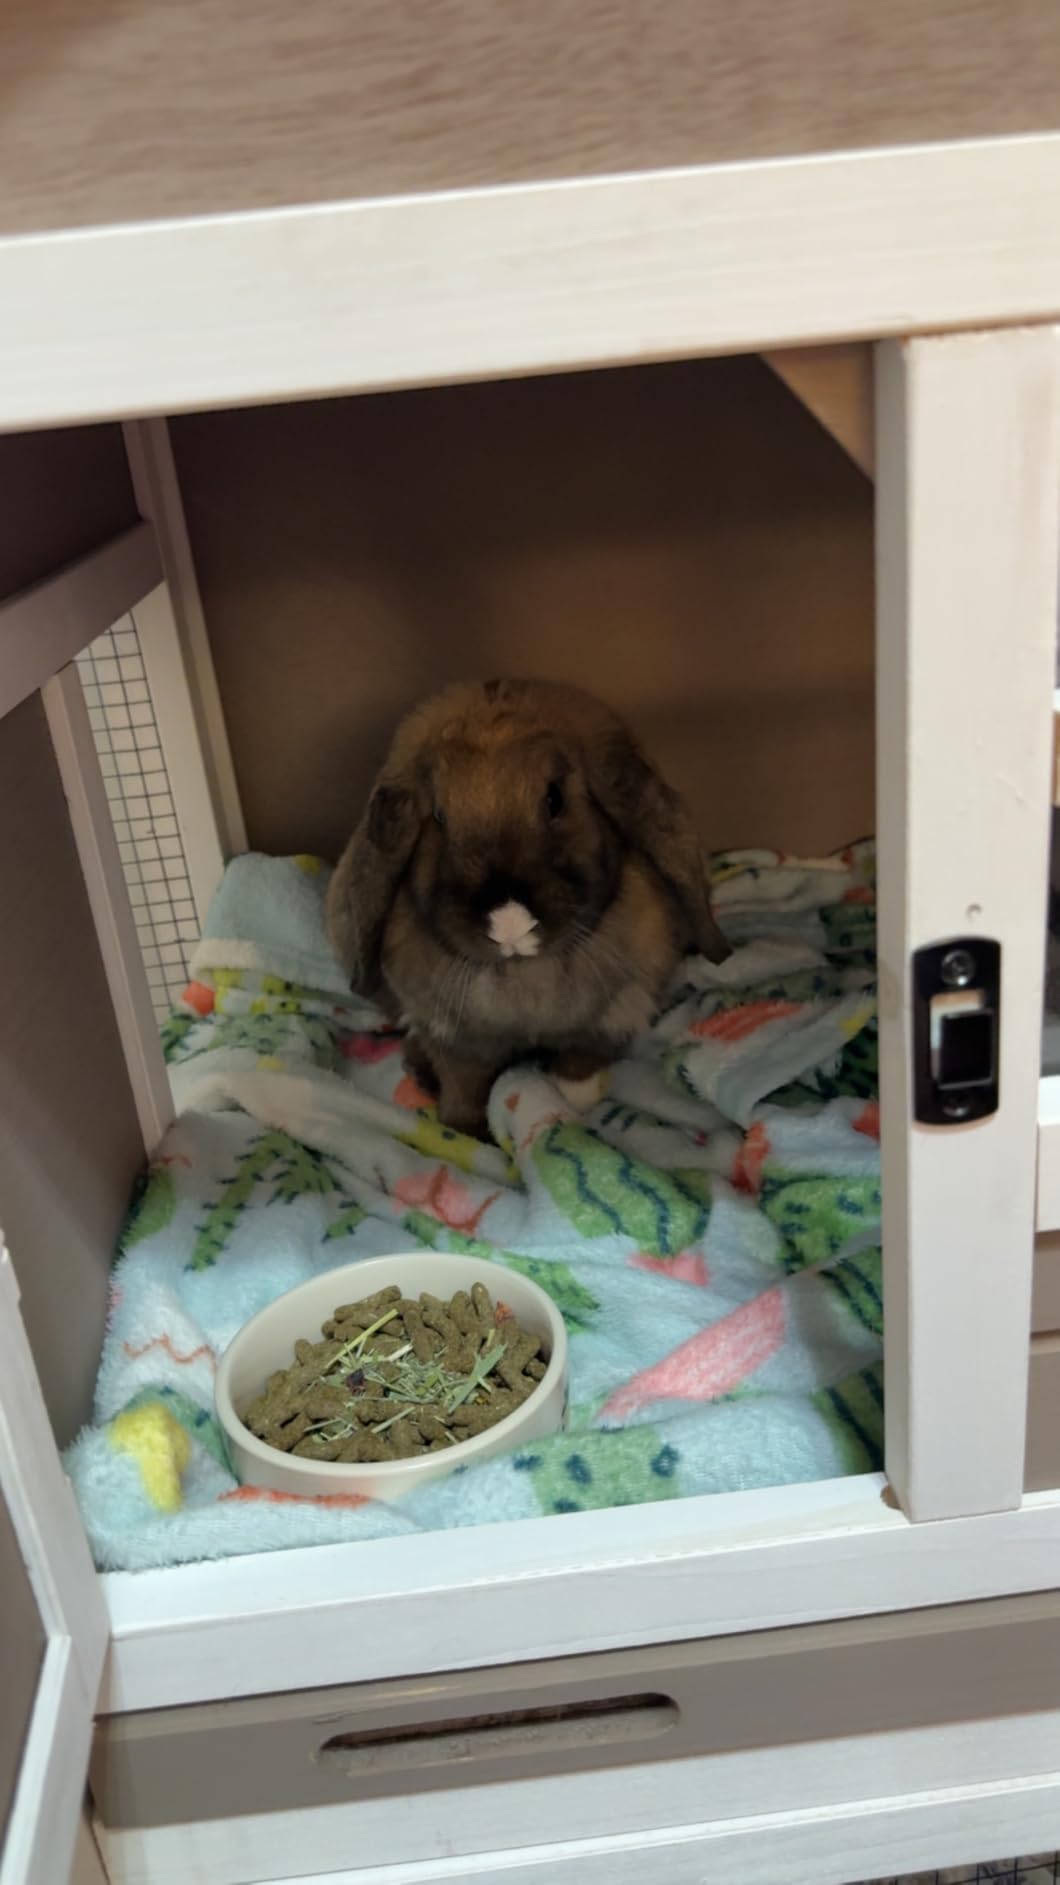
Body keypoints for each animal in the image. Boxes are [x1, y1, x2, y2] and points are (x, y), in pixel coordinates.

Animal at [327, 678, 730, 1140]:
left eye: (555, 799)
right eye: (439, 816)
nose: (509, 923)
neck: (525, 975)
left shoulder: (610, 1016)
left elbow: (579, 1065)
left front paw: (572, 1104)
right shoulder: (454, 1037)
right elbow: (464, 1087)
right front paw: (466, 1132)